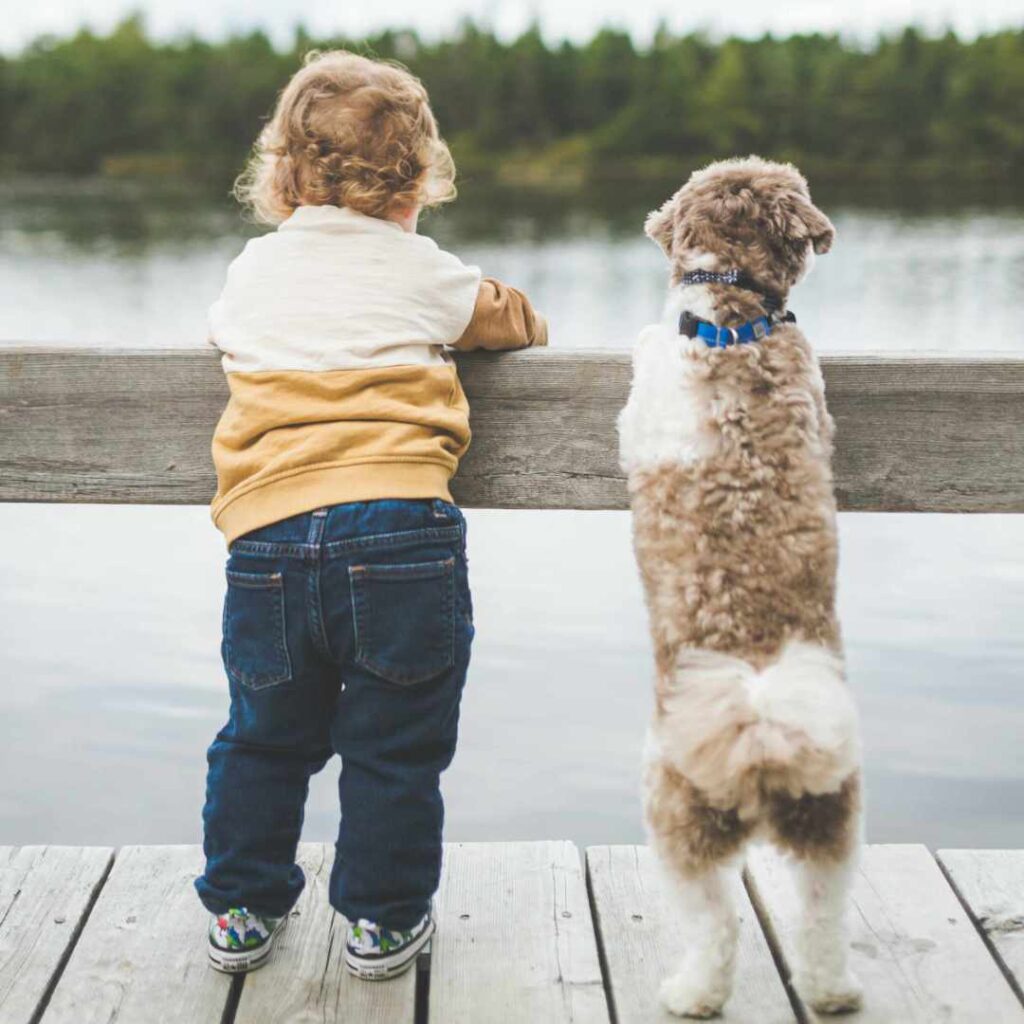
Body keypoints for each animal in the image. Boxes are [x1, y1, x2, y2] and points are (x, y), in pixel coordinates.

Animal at [614, 157, 864, 1015]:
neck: (735, 319)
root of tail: (761, 740)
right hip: (829, 819)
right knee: (821, 914)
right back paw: (831, 990)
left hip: (676, 816)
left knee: (715, 922)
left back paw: (691, 992)